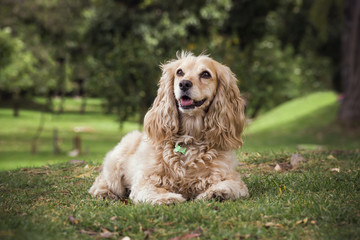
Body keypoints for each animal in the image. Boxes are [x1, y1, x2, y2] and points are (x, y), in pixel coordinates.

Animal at [88, 51, 249, 203]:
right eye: (180, 72)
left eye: (205, 74)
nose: (184, 84)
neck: (190, 136)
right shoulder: (146, 179)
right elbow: (153, 190)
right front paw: (167, 198)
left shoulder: (229, 176)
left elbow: (230, 185)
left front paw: (216, 193)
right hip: (116, 164)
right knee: (103, 181)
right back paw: (103, 192)